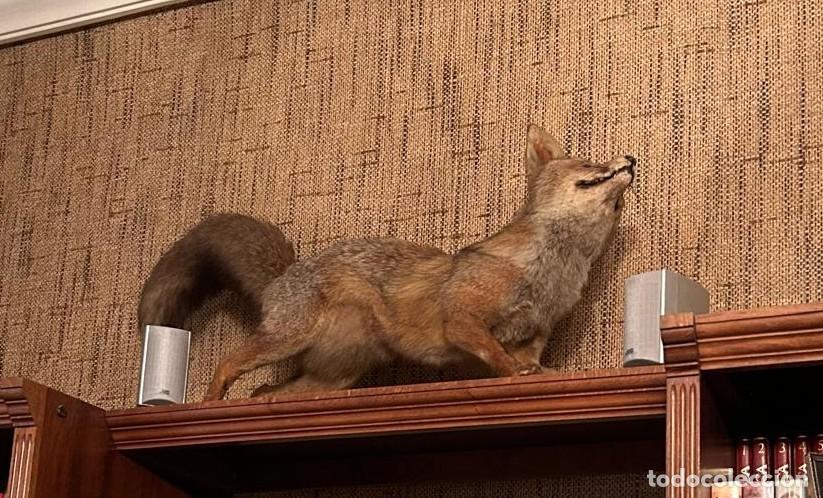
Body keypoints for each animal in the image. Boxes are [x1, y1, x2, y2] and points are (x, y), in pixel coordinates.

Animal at [139, 124, 635, 401]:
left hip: (332, 379)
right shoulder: (463, 319)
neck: (550, 273)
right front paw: (513, 375)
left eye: (619, 205)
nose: (632, 158)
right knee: (228, 363)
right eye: (588, 163)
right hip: (284, 340)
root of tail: (287, 273)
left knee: (266, 390)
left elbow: (532, 362)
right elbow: (497, 355)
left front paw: (545, 376)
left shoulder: (536, 333)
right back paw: (209, 402)